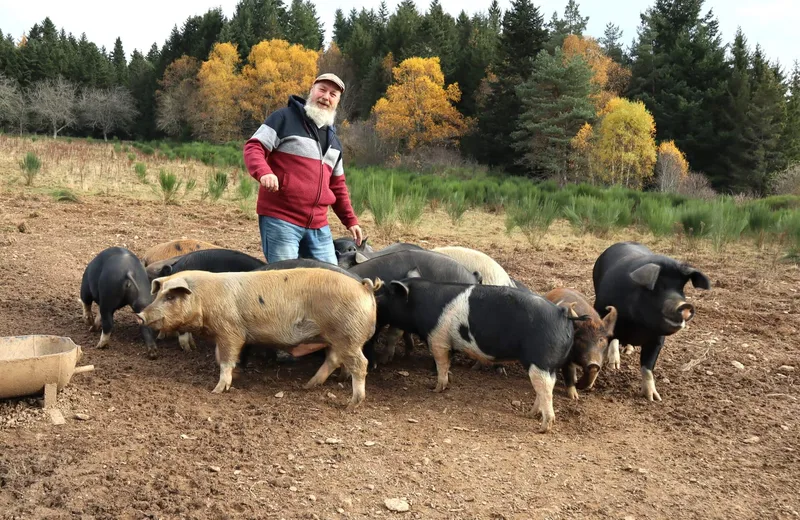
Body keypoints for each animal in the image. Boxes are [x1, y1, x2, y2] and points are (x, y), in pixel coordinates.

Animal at [137, 268, 382, 410]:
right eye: (158, 294)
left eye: (170, 297)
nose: (140, 315)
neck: (205, 298)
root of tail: (364, 288)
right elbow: (221, 357)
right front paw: (237, 373)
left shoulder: (230, 330)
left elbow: (225, 359)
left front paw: (218, 390)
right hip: (336, 338)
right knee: (333, 360)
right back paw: (308, 386)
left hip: (348, 335)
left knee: (360, 364)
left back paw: (351, 404)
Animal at [378, 276, 584, 434]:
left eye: (388, 294)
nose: (377, 298)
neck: (419, 304)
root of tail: (562, 314)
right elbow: (448, 364)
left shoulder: (438, 340)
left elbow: (441, 364)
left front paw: (436, 389)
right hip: (547, 366)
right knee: (544, 389)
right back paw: (530, 414)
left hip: (541, 361)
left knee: (546, 390)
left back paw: (542, 428)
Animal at [592, 241, 708, 402]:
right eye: (658, 288)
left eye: (681, 290)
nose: (685, 305)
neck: (638, 325)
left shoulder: (658, 339)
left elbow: (648, 367)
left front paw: (653, 398)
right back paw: (615, 365)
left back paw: (629, 350)